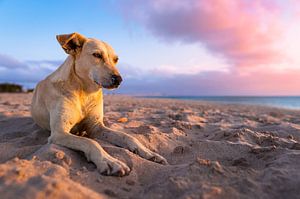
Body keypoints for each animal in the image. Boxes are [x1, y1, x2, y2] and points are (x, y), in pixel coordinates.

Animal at [31, 32, 168, 176]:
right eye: (97, 55)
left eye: (116, 59)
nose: (119, 80)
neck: (85, 93)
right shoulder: (59, 133)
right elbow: (90, 142)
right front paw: (109, 161)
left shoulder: (96, 127)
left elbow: (126, 136)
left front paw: (148, 152)